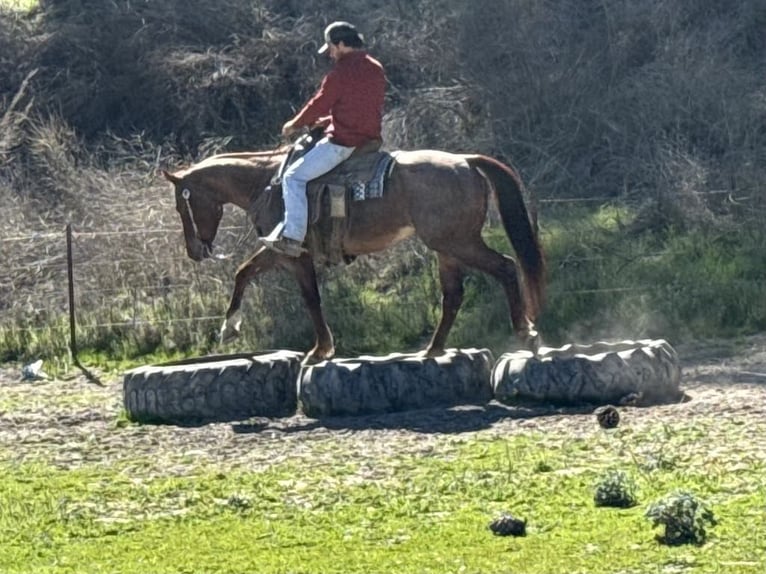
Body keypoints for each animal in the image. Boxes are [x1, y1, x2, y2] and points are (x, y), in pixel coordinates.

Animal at [162, 146, 546, 364]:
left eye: (184, 204)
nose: (194, 252)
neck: (267, 182)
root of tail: (466, 161)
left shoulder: (292, 254)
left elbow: (311, 299)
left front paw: (320, 350)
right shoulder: (276, 251)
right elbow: (243, 272)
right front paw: (229, 328)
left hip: (459, 242)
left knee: (506, 268)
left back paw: (526, 333)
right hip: (446, 248)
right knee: (452, 295)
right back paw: (432, 349)